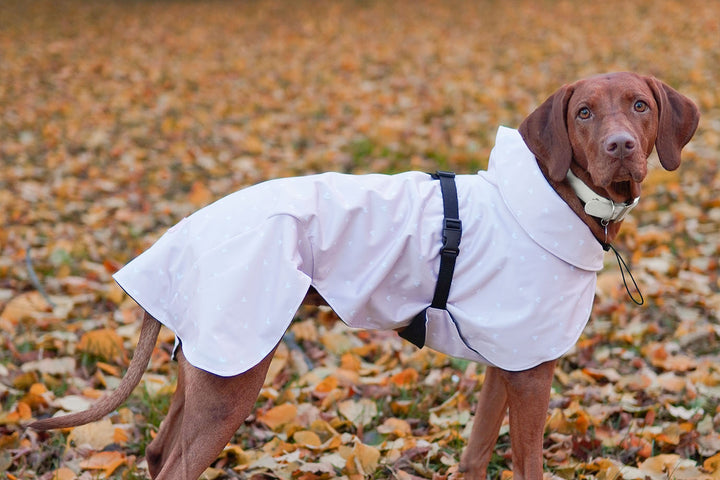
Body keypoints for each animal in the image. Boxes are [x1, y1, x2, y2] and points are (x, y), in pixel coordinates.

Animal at [32, 72, 696, 480]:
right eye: (583, 113)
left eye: (639, 105)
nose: (620, 147)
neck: (558, 199)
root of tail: (181, 233)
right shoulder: (533, 369)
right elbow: (526, 464)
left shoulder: (506, 362)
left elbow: (476, 452)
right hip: (235, 373)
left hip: (207, 363)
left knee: (156, 450)